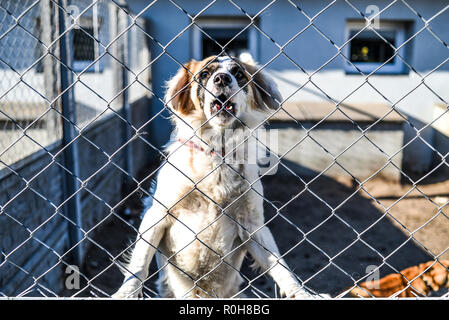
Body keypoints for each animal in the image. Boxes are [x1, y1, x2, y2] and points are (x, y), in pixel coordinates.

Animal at [113, 54, 326, 298]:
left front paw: (301, 293)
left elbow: (280, 267)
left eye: (238, 73)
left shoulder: (253, 224)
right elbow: (139, 264)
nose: (222, 78)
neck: (218, 152)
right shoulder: (157, 214)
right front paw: (126, 293)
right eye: (205, 74)